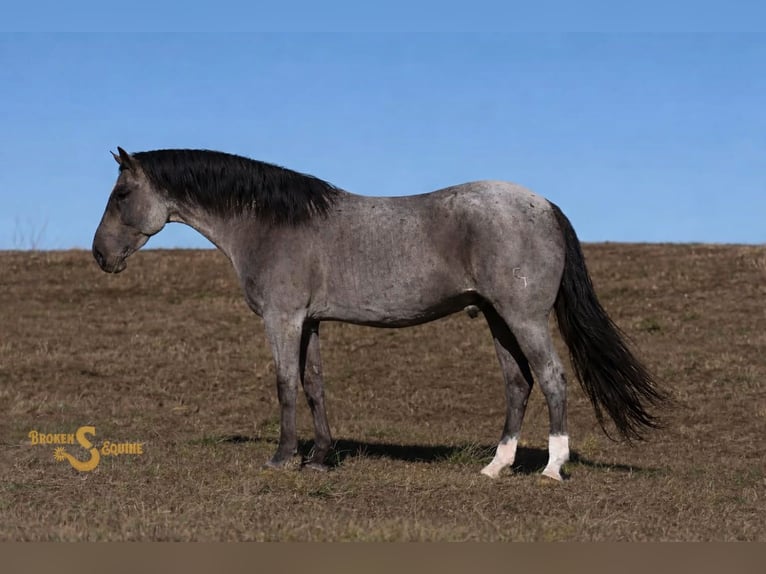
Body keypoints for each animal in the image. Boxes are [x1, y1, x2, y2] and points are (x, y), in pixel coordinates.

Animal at [92, 147, 665, 481]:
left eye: (122, 193)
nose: (100, 255)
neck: (274, 224)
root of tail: (543, 204)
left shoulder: (283, 319)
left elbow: (284, 384)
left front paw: (282, 457)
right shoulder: (311, 321)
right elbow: (314, 384)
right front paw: (320, 457)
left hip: (522, 318)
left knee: (551, 378)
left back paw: (552, 467)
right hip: (497, 319)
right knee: (517, 383)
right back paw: (495, 466)